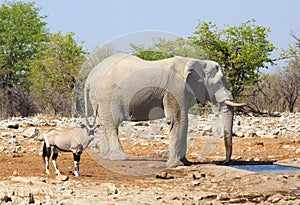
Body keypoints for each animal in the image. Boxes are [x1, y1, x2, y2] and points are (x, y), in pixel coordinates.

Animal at [84, 52, 244, 167]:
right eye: (219, 83)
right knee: (111, 123)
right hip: (106, 95)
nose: (224, 162)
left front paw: (186, 163)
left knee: (104, 123)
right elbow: (178, 120)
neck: (196, 61)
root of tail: (89, 77)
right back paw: (121, 158)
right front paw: (177, 164)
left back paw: (107, 157)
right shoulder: (176, 87)